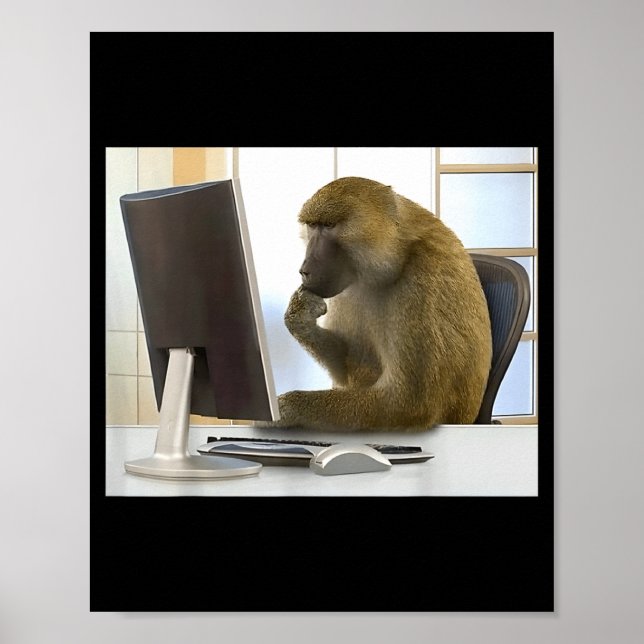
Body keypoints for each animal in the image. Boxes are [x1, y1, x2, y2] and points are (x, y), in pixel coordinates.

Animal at [268, 176, 492, 432]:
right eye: (312, 226)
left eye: (329, 226)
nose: (304, 271)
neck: (398, 252)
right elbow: (346, 368)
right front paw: (300, 317)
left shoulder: (423, 277)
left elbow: (409, 404)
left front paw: (286, 409)